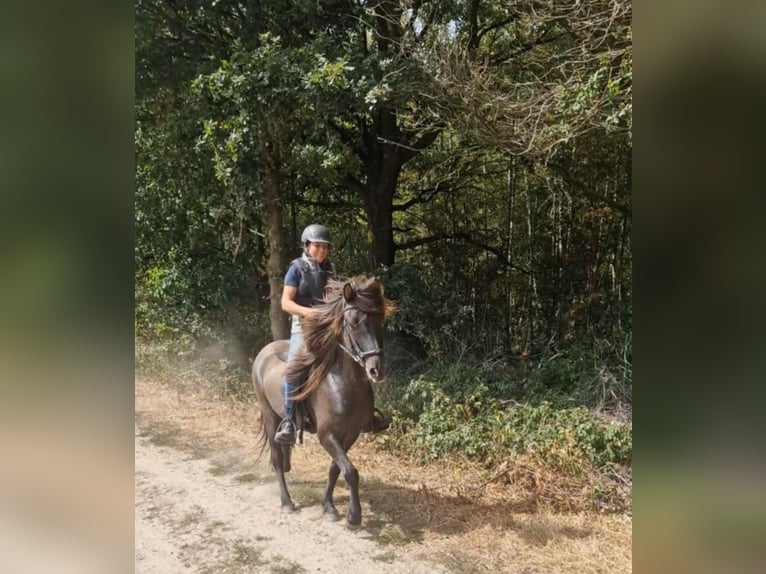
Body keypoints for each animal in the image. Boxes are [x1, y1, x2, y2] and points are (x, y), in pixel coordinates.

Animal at [252, 275, 395, 526]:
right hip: (269, 416)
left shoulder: (350, 434)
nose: (377, 370)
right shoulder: (326, 434)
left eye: (380, 320)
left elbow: (335, 469)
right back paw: (286, 502)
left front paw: (328, 506)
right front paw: (353, 516)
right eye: (354, 322)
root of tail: (264, 351)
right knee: (277, 458)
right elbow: (350, 471)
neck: (343, 384)